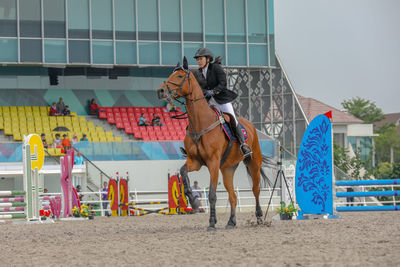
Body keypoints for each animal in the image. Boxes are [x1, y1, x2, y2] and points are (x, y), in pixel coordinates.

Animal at [157, 58, 272, 230]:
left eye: (179, 76)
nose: (161, 91)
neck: (200, 124)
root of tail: (251, 126)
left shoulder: (213, 163)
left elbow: (212, 194)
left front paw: (211, 222)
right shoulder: (195, 161)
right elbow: (183, 173)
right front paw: (194, 201)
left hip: (253, 162)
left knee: (255, 189)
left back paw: (259, 218)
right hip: (228, 169)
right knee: (233, 196)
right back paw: (231, 222)